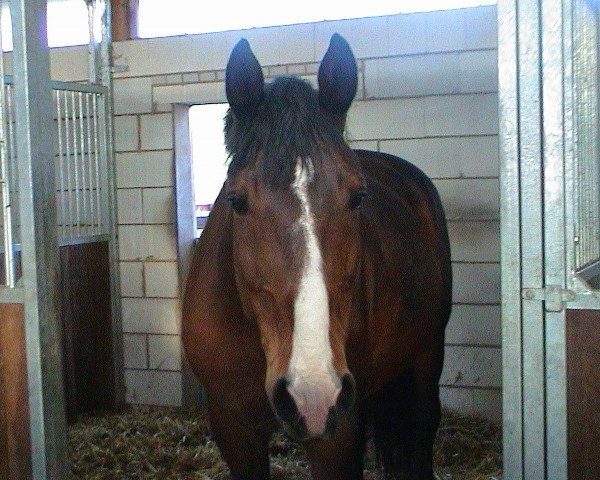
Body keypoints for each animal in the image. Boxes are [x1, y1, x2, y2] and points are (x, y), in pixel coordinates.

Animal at [180, 34, 452, 480]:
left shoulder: (337, 438)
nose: (311, 392)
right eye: (237, 201)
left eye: (357, 197)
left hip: (428, 354)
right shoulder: (234, 428)